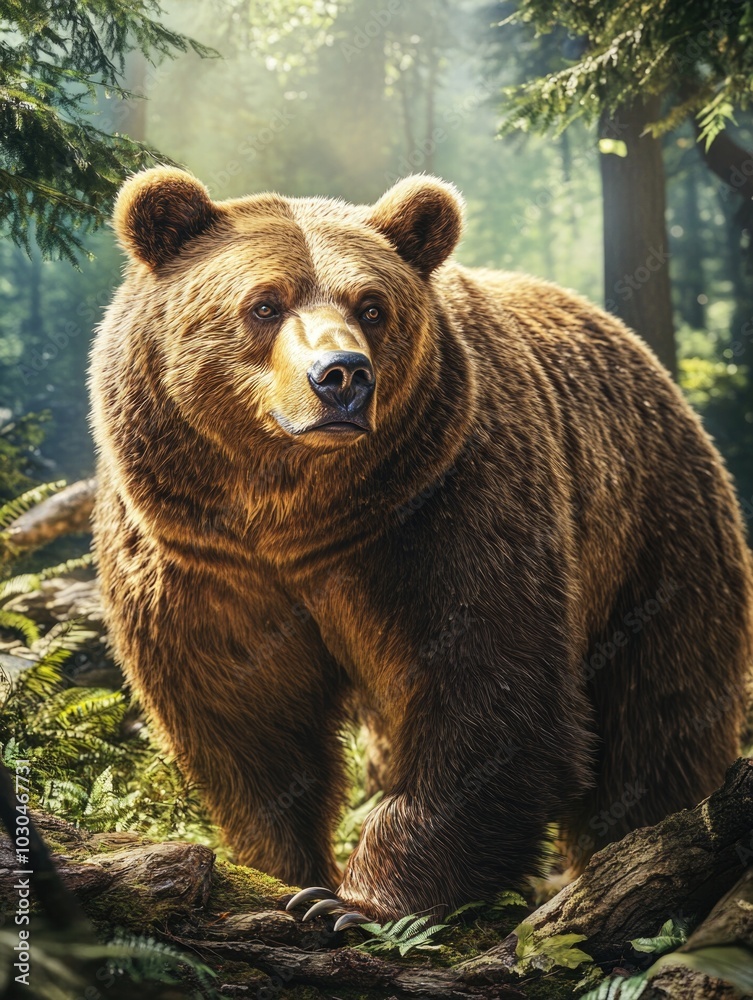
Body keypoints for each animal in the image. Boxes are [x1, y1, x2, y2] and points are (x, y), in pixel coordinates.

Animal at [90, 166, 753, 925]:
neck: (291, 516)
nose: (342, 375)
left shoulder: (445, 508)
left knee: (657, 714)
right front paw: (286, 874)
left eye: (372, 306)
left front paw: (358, 901)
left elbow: (487, 689)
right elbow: (246, 716)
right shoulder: (200, 561)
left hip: (652, 537)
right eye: (263, 303)